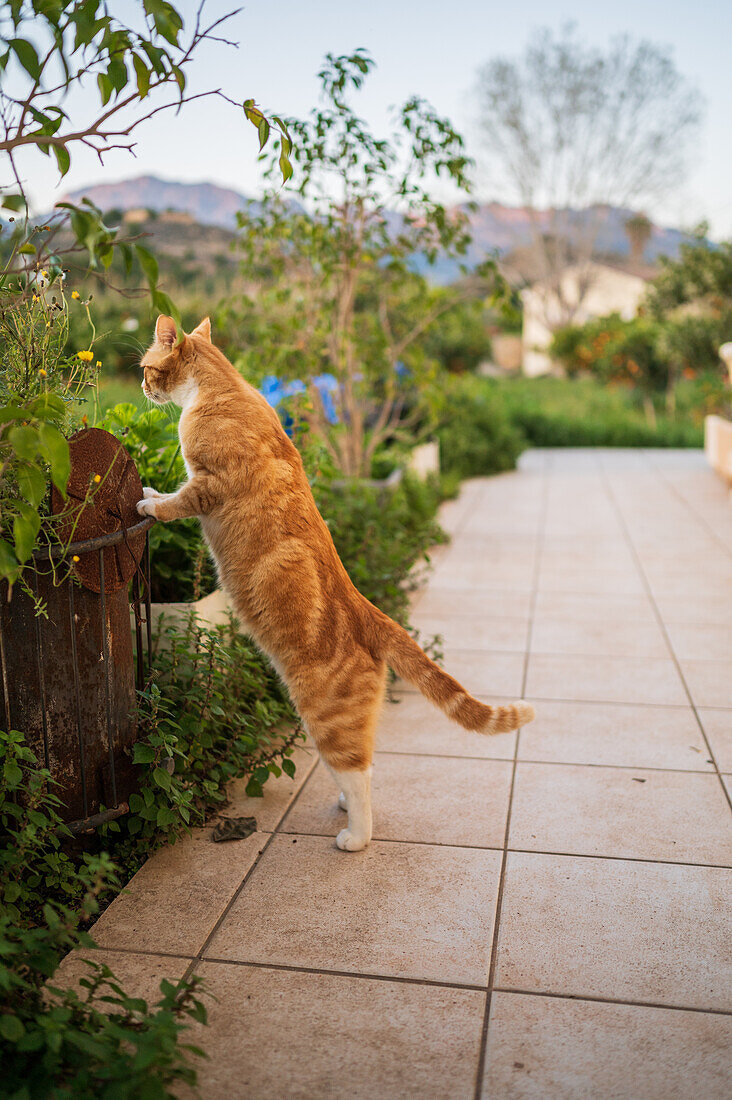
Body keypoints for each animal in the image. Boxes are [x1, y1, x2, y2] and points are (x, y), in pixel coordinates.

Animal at [138, 314, 537, 853]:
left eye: (146, 368)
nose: (141, 386)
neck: (222, 389)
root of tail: (370, 612)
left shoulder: (208, 485)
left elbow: (175, 502)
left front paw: (149, 503)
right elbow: (170, 493)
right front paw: (150, 490)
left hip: (324, 715)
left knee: (360, 773)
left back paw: (355, 835)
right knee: (361, 768)